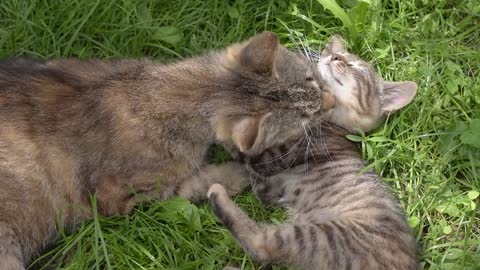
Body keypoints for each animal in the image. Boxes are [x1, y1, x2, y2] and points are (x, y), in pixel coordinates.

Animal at [0, 32, 334, 270]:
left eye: (310, 80)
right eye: (305, 117)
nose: (331, 102)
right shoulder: (115, 198)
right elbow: (190, 184)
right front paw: (234, 172)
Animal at [208, 35, 418, 270]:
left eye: (356, 67)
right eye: (335, 54)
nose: (333, 56)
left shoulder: (273, 159)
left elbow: (244, 149)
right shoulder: (267, 188)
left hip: (319, 237)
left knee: (261, 245)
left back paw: (217, 193)